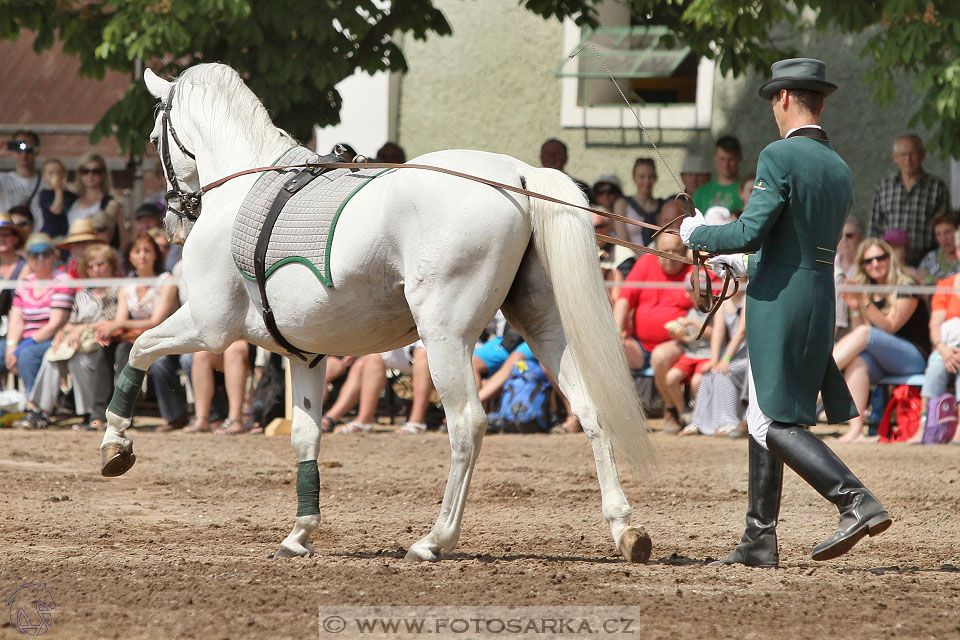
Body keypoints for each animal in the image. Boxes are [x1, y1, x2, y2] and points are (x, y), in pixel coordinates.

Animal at [101, 63, 656, 560]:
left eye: (154, 136)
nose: (173, 219)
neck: (242, 191)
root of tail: (516, 174)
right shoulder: (305, 354)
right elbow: (305, 436)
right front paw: (300, 533)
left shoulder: (209, 325)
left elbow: (139, 348)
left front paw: (116, 446)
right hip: (542, 324)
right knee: (590, 412)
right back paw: (626, 530)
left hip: (444, 336)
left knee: (467, 424)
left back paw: (435, 540)